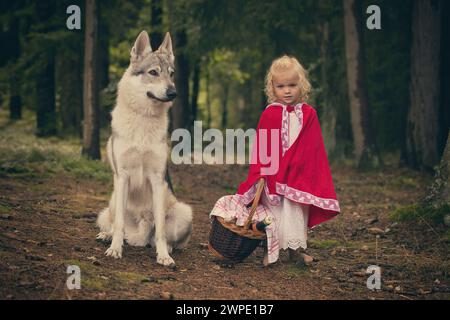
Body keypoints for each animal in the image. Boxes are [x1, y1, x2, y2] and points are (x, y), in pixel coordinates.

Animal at [96, 30, 192, 266]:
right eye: (153, 72)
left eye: (171, 74)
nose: (173, 92)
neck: (143, 118)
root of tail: (138, 236)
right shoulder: (122, 176)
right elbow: (119, 223)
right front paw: (115, 249)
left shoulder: (157, 179)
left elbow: (161, 230)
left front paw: (163, 256)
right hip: (112, 202)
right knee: (116, 225)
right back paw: (108, 236)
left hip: (184, 211)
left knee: (162, 236)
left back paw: (165, 247)